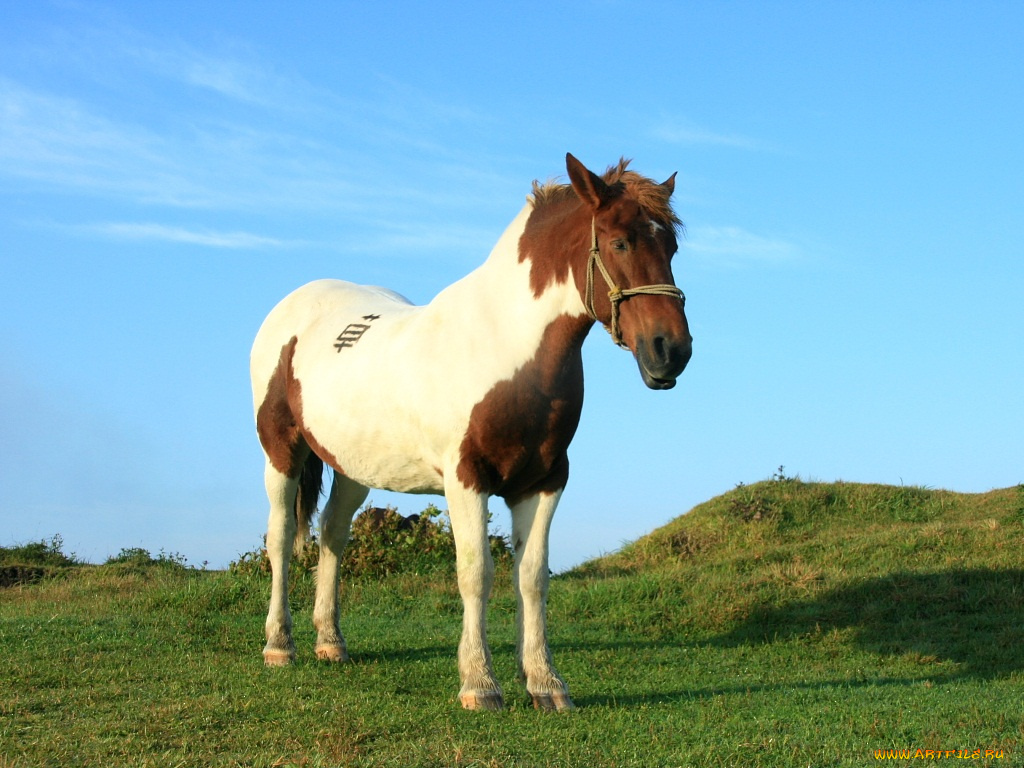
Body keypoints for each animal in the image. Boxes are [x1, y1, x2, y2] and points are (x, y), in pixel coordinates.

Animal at [250, 153, 692, 712]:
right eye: (619, 242)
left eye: (671, 246)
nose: (671, 351)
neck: (507, 347)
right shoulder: (467, 480)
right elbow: (476, 573)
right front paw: (480, 683)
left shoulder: (543, 482)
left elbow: (532, 578)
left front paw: (545, 683)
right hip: (280, 452)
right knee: (282, 538)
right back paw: (278, 645)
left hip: (352, 466)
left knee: (332, 534)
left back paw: (330, 641)